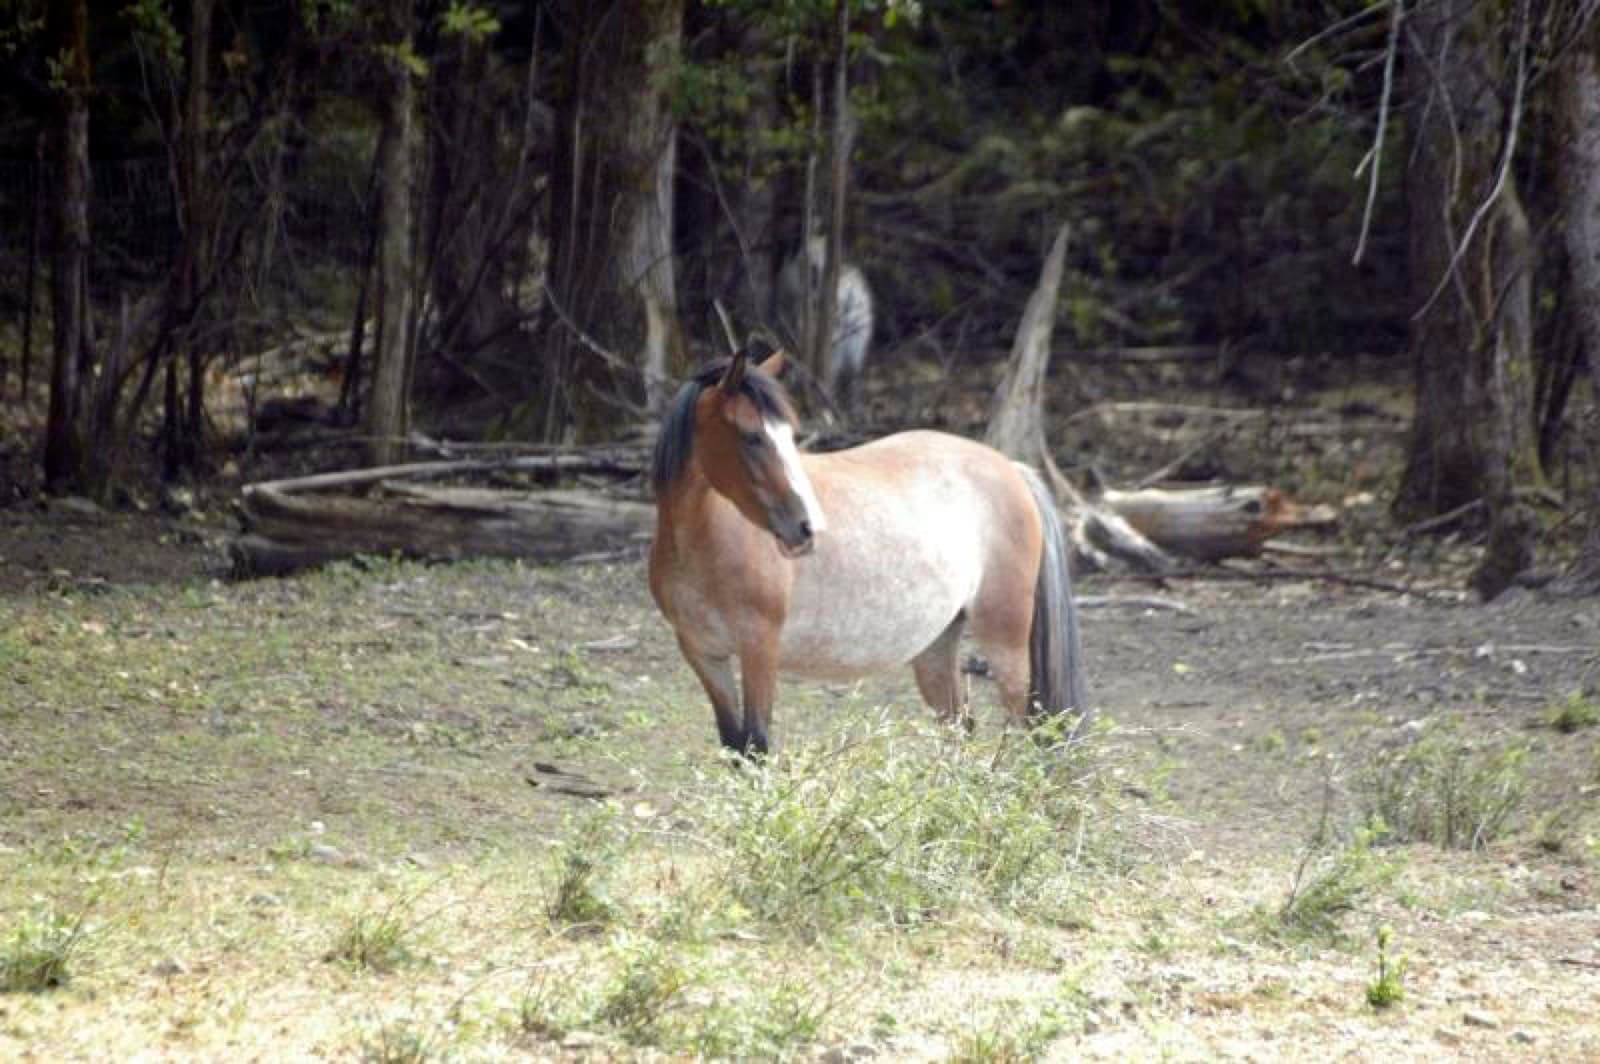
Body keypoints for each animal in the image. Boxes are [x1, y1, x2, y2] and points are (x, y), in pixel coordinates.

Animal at [647, 341, 1087, 756]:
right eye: (752, 436)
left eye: (789, 436)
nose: (807, 528)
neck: (703, 542)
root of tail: (1011, 468)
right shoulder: (705, 655)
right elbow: (734, 747)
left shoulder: (759, 649)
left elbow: (756, 745)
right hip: (936, 646)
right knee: (959, 727)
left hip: (1005, 644)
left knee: (1024, 729)